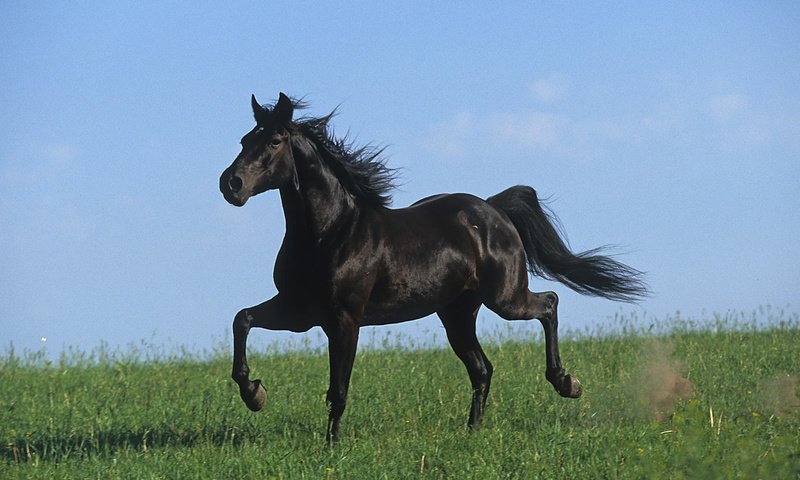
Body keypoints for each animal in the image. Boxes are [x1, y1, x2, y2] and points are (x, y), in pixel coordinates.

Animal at [222, 92, 648, 444]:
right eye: (244, 140)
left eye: (274, 141)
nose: (231, 184)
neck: (330, 232)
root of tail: (494, 209)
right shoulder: (300, 312)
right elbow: (242, 319)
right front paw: (255, 394)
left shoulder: (344, 319)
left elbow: (338, 388)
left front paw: (330, 446)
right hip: (457, 314)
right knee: (482, 369)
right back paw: (472, 431)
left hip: (505, 299)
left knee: (548, 303)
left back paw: (567, 383)